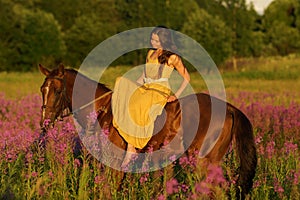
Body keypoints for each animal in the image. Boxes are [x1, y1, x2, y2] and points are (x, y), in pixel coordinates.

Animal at [38, 63, 256, 198]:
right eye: (42, 89)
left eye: (57, 90)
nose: (44, 122)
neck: (103, 109)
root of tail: (230, 108)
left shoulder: (116, 160)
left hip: (204, 161)